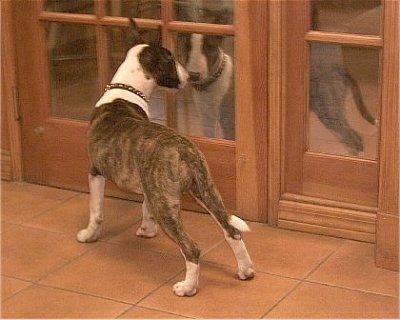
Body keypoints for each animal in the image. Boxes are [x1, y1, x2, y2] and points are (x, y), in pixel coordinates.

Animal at [76, 18, 255, 296]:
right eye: (171, 61)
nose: (189, 77)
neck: (126, 92)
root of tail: (183, 149)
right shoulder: (148, 187)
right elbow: (144, 206)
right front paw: (147, 229)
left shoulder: (95, 171)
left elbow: (96, 210)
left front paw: (88, 234)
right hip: (203, 190)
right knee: (232, 231)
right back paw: (245, 270)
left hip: (169, 205)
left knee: (192, 248)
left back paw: (187, 287)